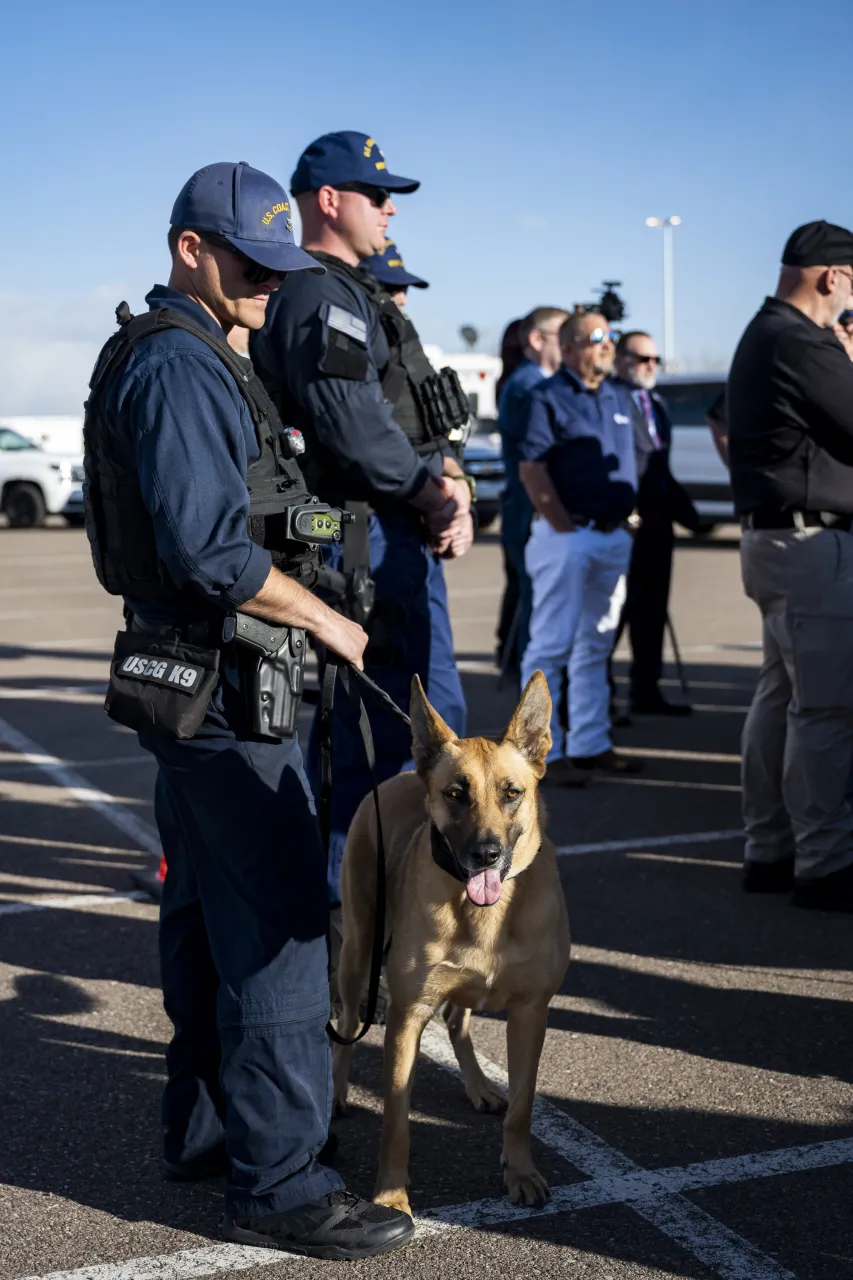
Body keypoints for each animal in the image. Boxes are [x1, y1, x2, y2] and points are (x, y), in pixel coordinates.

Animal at [327, 670, 568, 1218]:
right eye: (456, 793)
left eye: (512, 792)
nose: (487, 854)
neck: (486, 913)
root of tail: (398, 776)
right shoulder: (407, 1014)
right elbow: (396, 1118)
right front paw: (391, 1197)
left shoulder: (531, 1012)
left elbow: (522, 1106)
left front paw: (520, 1172)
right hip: (358, 955)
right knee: (346, 1025)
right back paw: (334, 1101)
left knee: (458, 1019)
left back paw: (479, 1086)